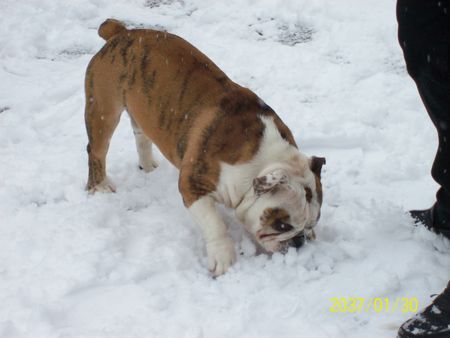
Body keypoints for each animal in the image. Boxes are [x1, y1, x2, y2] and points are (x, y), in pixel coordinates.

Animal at [84, 18, 326, 276]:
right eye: (281, 224)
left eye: (311, 223)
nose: (300, 240)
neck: (263, 161)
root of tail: (120, 32)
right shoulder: (192, 185)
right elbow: (214, 223)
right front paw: (224, 258)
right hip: (103, 108)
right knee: (96, 149)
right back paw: (99, 186)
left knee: (141, 135)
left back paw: (148, 166)